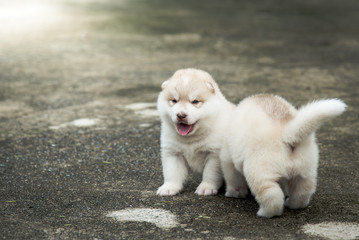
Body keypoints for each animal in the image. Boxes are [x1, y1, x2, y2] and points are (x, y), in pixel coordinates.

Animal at [156, 68, 235, 196]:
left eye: (195, 101)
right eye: (174, 100)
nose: (181, 115)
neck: (191, 139)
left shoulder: (214, 154)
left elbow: (210, 173)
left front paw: (206, 187)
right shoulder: (172, 152)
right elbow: (171, 172)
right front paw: (169, 187)